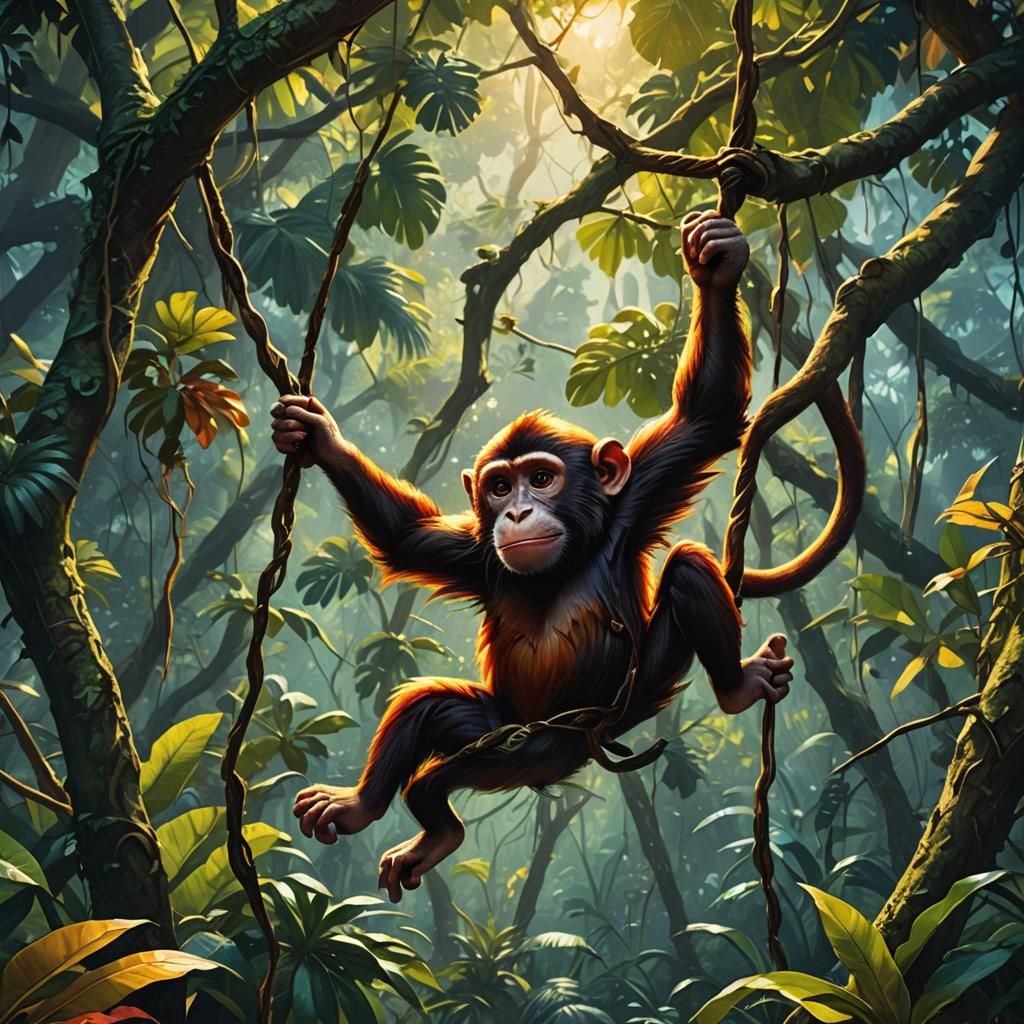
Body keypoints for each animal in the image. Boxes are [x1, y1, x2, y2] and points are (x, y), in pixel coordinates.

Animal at [272, 210, 860, 903]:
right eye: (500, 487)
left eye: (541, 478)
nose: (517, 513)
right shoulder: (475, 552)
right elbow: (405, 536)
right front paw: (318, 437)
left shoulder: (638, 498)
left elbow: (707, 415)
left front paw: (716, 265)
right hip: (503, 724)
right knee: (427, 709)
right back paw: (370, 808)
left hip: (560, 737)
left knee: (689, 567)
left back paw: (738, 687)